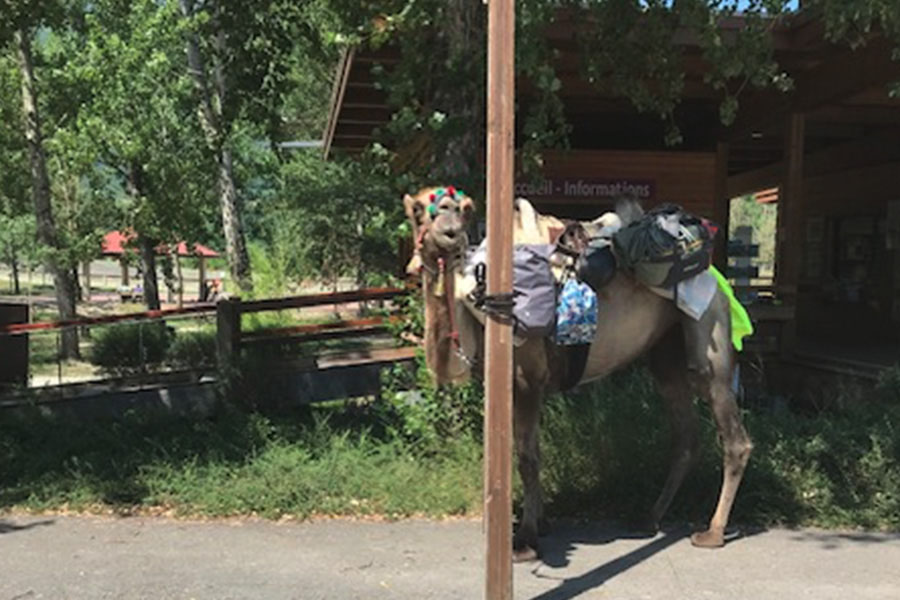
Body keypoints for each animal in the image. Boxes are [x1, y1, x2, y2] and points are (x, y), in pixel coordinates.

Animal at [402, 185, 754, 562]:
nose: (449, 231)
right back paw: (648, 518)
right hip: (665, 352)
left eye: (460, 209)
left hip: (708, 330)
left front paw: (525, 540)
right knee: (685, 435)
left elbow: (526, 456)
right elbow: (530, 450)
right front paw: (540, 524)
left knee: (732, 432)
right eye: (419, 211)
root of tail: (716, 276)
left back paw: (712, 532)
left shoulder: (528, 377)